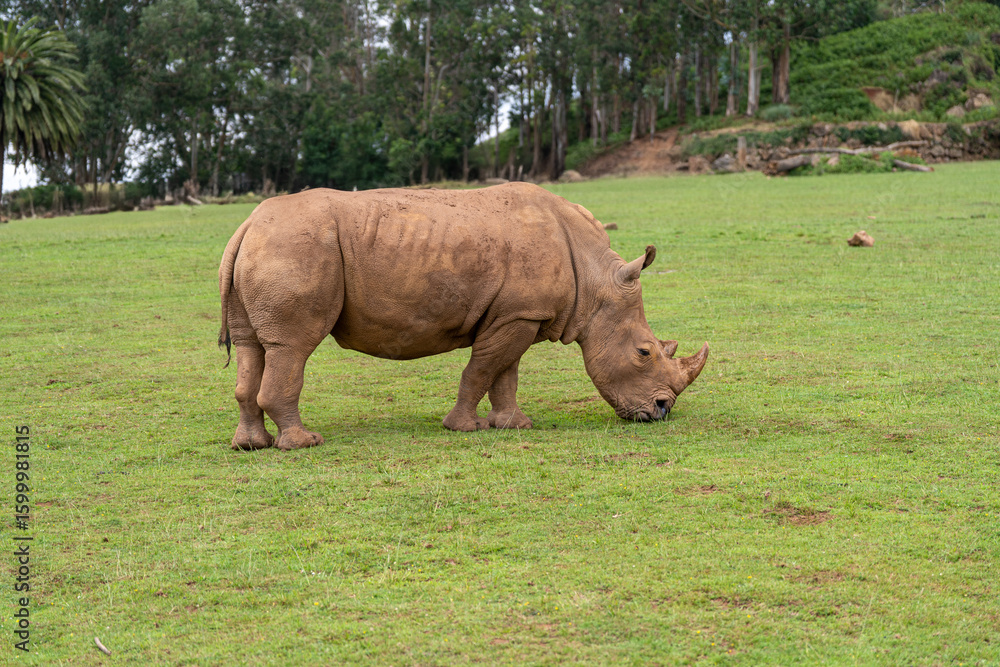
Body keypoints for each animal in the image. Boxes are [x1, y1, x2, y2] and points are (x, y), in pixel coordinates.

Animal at [218, 182, 708, 450]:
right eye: (644, 353)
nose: (662, 411)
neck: (595, 281)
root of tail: (246, 225)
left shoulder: (519, 314)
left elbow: (506, 373)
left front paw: (514, 426)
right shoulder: (517, 315)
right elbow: (482, 369)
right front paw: (464, 428)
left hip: (270, 247)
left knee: (251, 347)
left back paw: (251, 446)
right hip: (295, 247)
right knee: (293, 347)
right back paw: (305, 443)